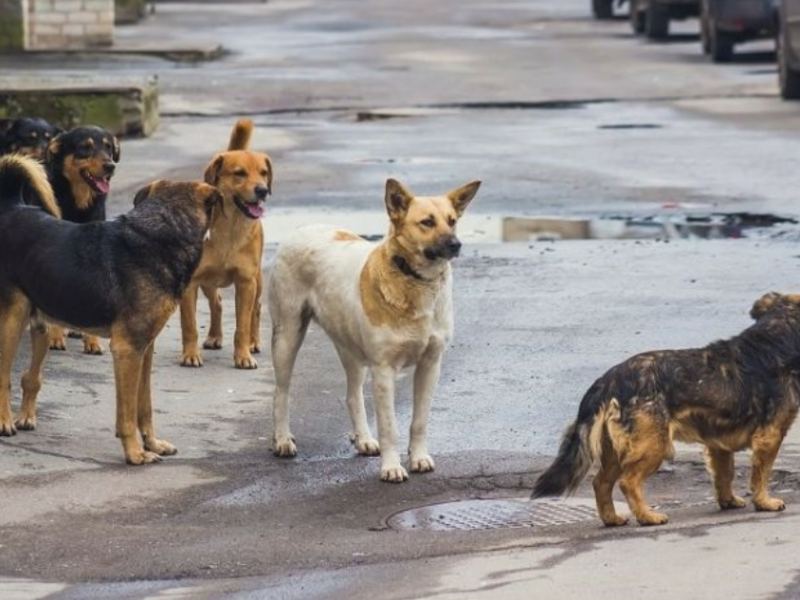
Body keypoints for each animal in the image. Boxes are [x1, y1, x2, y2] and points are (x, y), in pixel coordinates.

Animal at [0, 155, 222, 464]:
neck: (163, 231)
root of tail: (11, 206)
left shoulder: (144, 349)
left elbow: (144, 406)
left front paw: (152, 444)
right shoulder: (127, 349)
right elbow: (127, 413)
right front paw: (135, 453)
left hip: (40, 322)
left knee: (29, 376)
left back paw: (25, 417)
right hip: (11, 319)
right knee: (3, 376)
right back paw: (5, 422)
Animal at [45, 124, 120, 354]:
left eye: (108, 147)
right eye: (85, 148)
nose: (110, 166)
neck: (78, 204)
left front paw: (92, 341)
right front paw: (55, 337)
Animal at [179, 119, 272, 368]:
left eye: (264, 173)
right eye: (239, 173)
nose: (262, 190)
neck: (230, 228)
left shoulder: (246, 282)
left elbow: (242, 325)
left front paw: (243, 356)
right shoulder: (190, 284)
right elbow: (189, 325)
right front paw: (190, 354)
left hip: (257, 280)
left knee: (256, 309)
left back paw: (253, 341)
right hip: (208, 282)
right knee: (217, 303)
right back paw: (214, 336)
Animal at [268, 177, 482, 482]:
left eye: (452, 221)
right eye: (427, 222)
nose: (456, 245)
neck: (414, 280)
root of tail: (302, 228)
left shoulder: (430, 365)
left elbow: (419, 421)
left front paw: (418, 457)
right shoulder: (383, 371)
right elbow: (390, 426)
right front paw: (391, 467)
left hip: (351, 350)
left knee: (352, 395)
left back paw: (364, 439)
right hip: (287, 337)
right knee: (281, 392)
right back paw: (283, 439)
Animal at [536, 292, 800, 528]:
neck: (776, 338)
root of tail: (609, 380)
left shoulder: (719, 444)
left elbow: (724, 475)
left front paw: (728, 501)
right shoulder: (770, 437)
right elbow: (761, 474)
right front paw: (764, 502)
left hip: (615, 450)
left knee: (600, 483)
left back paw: (612, 519)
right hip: (654, 446)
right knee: (627, 482)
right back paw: (647, 517)